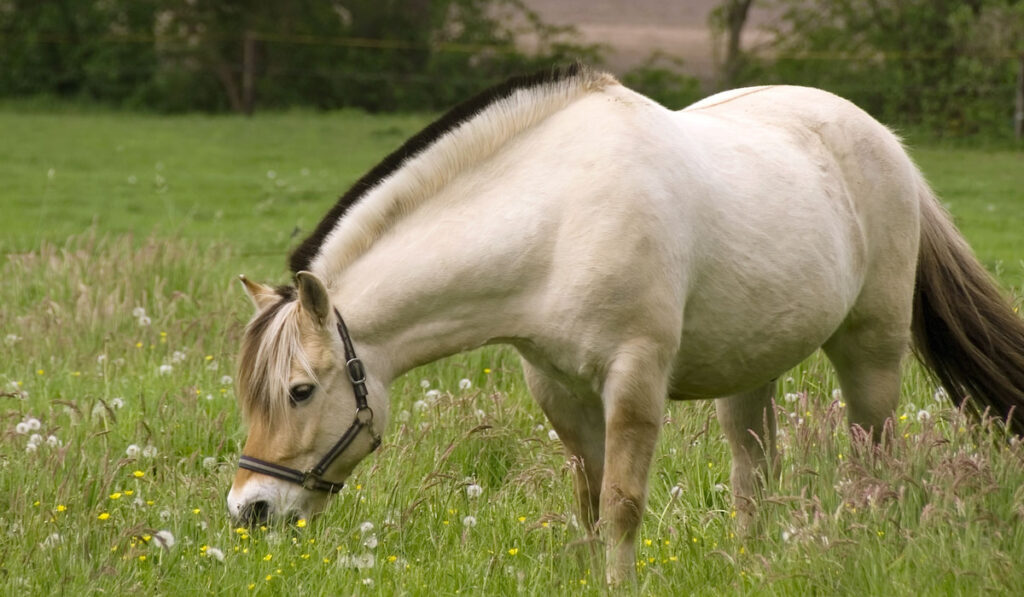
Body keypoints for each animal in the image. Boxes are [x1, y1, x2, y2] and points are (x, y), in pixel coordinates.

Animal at [228, 64, 1024, 585]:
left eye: (300, 391)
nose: (250, 508)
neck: (556, 218)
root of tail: (887, 143)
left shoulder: (633, 380)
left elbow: (620, 505)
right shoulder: (559, 388)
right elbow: (587, 501)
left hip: (871, 351)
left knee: (876, 459)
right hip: (752, 368)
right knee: (754, 473)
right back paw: (750, 566)